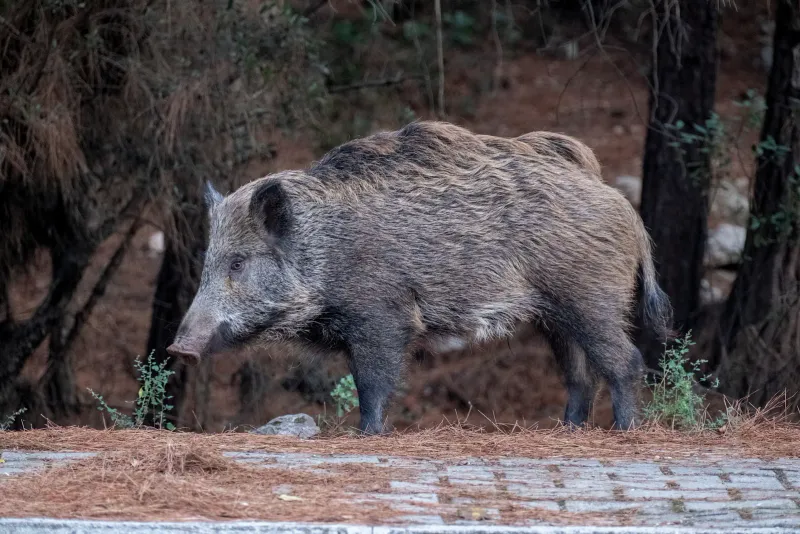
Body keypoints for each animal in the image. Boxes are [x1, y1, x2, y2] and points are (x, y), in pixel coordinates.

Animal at [167, 121, 672, 433]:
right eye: (209, 261)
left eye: (238, 263)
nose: (178, 347)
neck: (325, 249)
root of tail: (624, 207)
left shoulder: (382, 317)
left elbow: (373, 382)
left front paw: (367, 436)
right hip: (556, 314)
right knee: (580, 375)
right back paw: (567, 430)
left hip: (590, 297)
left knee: (625, 360)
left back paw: (624, 430)